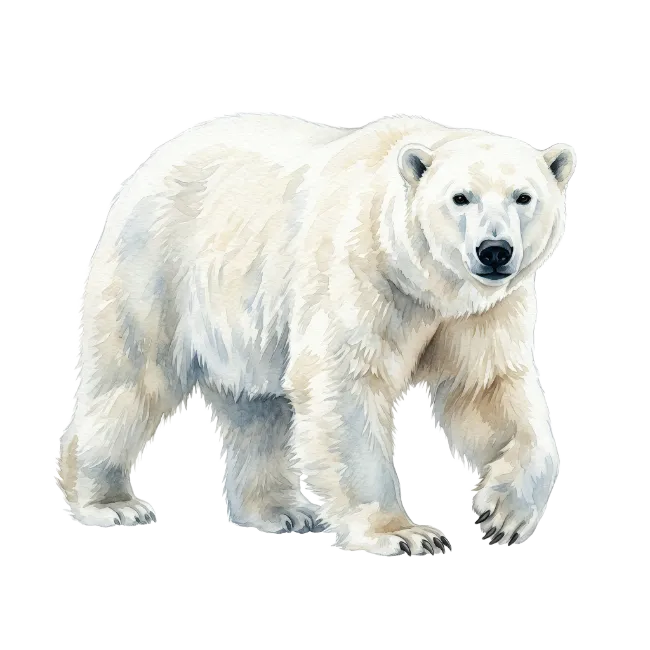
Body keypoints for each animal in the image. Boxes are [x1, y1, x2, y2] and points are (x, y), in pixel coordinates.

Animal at [58, 114, 573, 556]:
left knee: (257, 409)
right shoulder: (359, 270)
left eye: (523, 197)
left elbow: (486, 389)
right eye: (461, 198)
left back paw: (281, 511)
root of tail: (146, 167)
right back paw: (112, 504)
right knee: (132, 377)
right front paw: (407, 535)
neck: (425, 282)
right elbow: (344, 387)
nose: (494, 250)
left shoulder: (478, 312)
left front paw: (504, 514)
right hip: (159, 265)